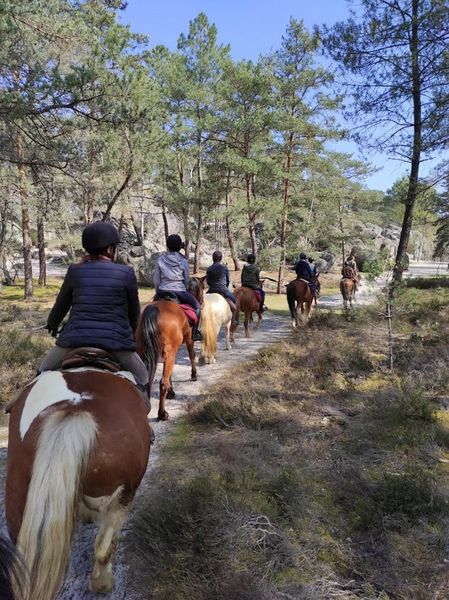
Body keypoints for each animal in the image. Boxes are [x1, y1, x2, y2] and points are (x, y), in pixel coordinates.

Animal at [133, 278, 203, 420]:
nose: (202, 301)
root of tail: (153, 309)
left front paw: (172, 392)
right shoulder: (189, 340)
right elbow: (192, 355)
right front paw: (194, 375)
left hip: (144, 351)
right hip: (170, 353)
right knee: (162, 383)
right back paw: (162, 413)